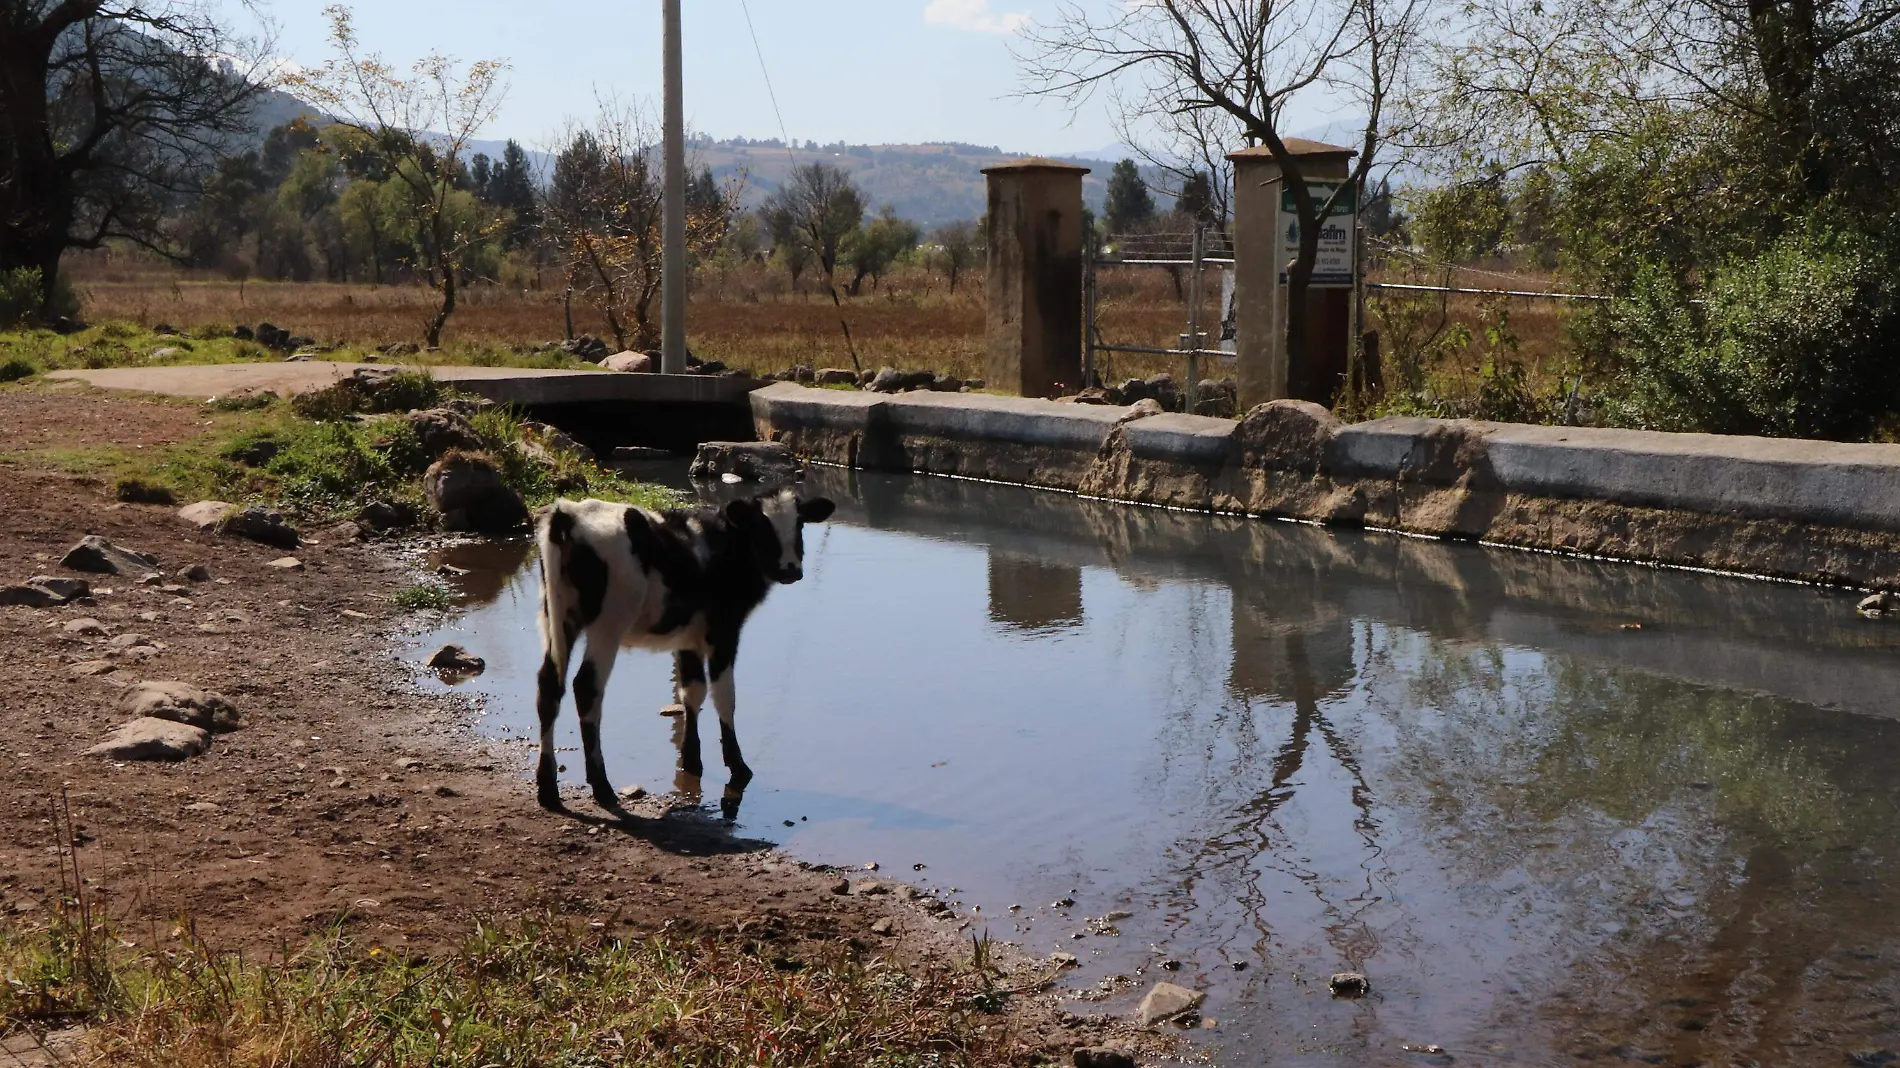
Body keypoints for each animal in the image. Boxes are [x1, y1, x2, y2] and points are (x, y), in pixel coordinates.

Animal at [535, 484, 832, 805]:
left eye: (799, 523)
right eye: (761, 526)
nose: (789, 569)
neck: (727, 546)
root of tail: (570, 513)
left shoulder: (688, 636)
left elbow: (692, 691)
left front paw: (691, 760)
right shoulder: (723, 631)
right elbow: (724, 695)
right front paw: (737, 766)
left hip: (556, 618)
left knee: (549, 685)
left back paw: (548, 788)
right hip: (608, 624)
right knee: (586, 687)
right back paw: (601, 786)